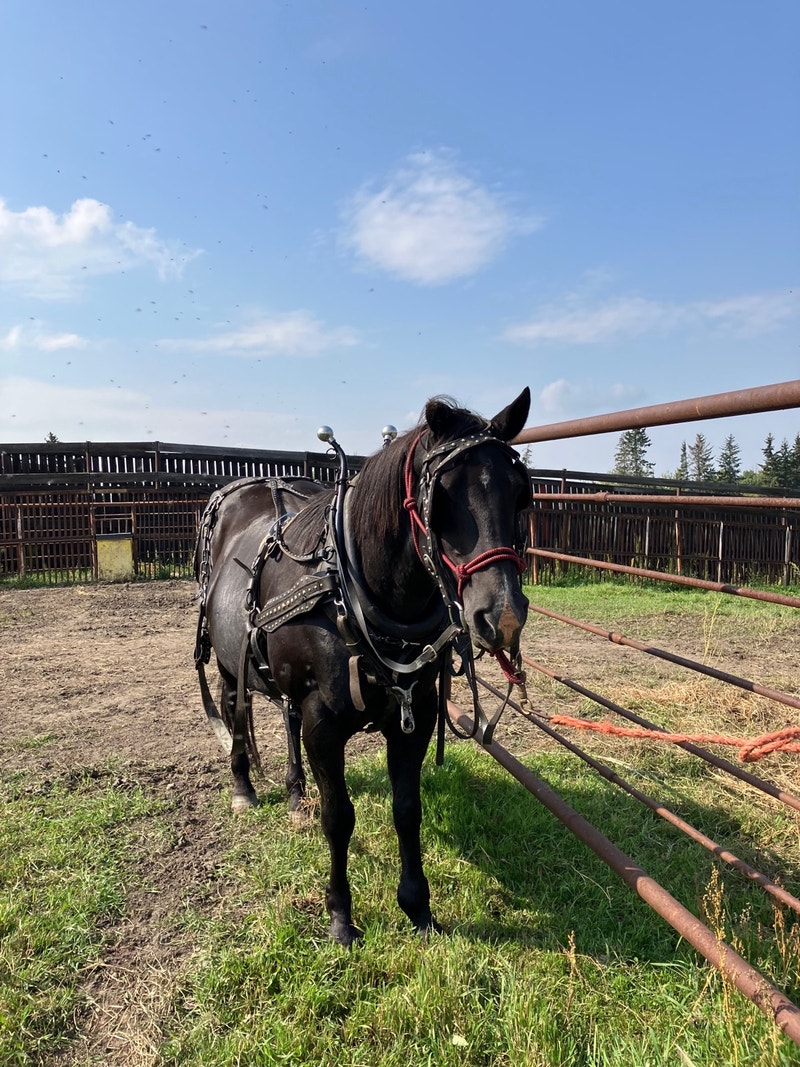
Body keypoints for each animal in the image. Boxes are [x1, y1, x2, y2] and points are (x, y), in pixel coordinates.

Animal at [194, 387, 532, 945]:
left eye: (521, 495)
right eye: (442, 500)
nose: (501, 615)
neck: (350, 592)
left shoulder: (415, 714)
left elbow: (407, 810)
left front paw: (418, 907)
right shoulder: (323, 722)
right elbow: (339, 817)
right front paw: (340, 916)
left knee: (283, 717)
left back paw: (294, 793)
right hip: (226, 662)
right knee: (233, 710)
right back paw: (244, 787)